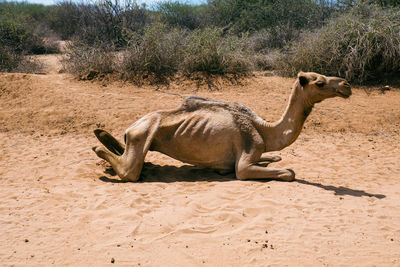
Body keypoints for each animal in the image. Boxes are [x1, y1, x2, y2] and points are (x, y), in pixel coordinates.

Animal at [93, 71, 350, 182]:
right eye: (320, 82)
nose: (346, 85)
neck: (263, 128)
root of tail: (130, 128)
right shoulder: (246, 156)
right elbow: (287, 172)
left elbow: (273, 158)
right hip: (142, 136)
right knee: (129, 171)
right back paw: (99, 144)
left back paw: (102, 136)